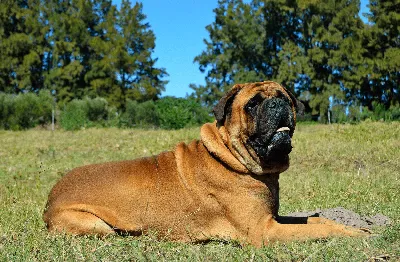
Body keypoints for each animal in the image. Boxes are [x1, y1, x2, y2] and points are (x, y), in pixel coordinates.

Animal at [43, 81, 366, 247]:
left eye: (285, 97)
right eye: (252, 104)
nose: (278, 104)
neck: (231, 157)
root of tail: (50, 198)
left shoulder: (272, 219)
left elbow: (316, 221)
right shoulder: (264, 231)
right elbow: (317, 230)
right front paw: (353, 233)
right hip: (96, 225)